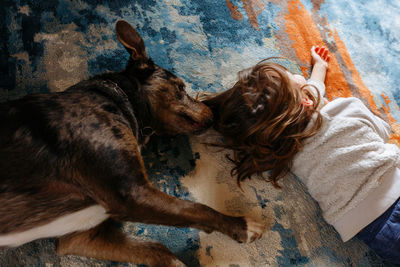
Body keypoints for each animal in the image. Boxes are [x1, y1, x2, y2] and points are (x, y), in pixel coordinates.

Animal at [0, 20, 262, 266]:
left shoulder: (78, 237)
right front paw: (242, 226)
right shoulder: (131, 193)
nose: (214, 113)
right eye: (180, 87)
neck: (116, 97)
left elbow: (157, 248)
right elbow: (195, 209)